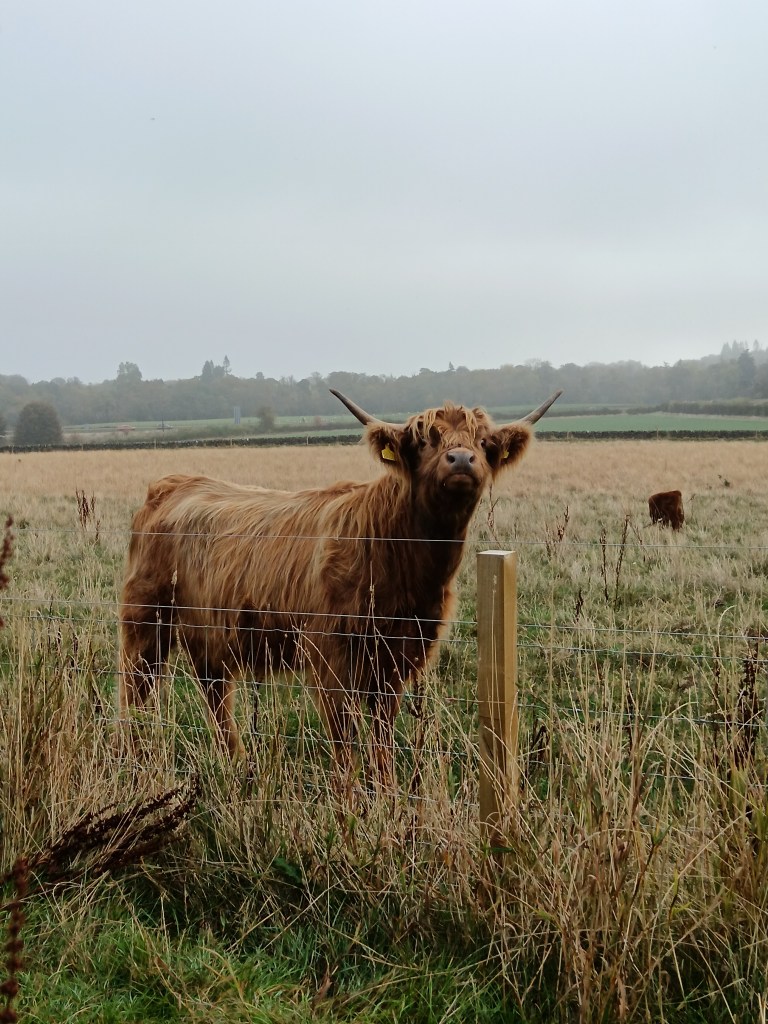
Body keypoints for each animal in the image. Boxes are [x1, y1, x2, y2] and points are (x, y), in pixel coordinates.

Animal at [117, 387, 562, 786]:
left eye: (483, 443)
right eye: (425, 440)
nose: (462, 460)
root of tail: (172, 483)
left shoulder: (398, 657)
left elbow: (382, 735)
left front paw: (386, 797)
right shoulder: (331, 657)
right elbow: (344, 739)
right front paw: (350, 805)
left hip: (206, 633)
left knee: (214, 695)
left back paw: (238, 766)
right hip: (146, 621)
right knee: (136, 691)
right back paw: (137, 764)